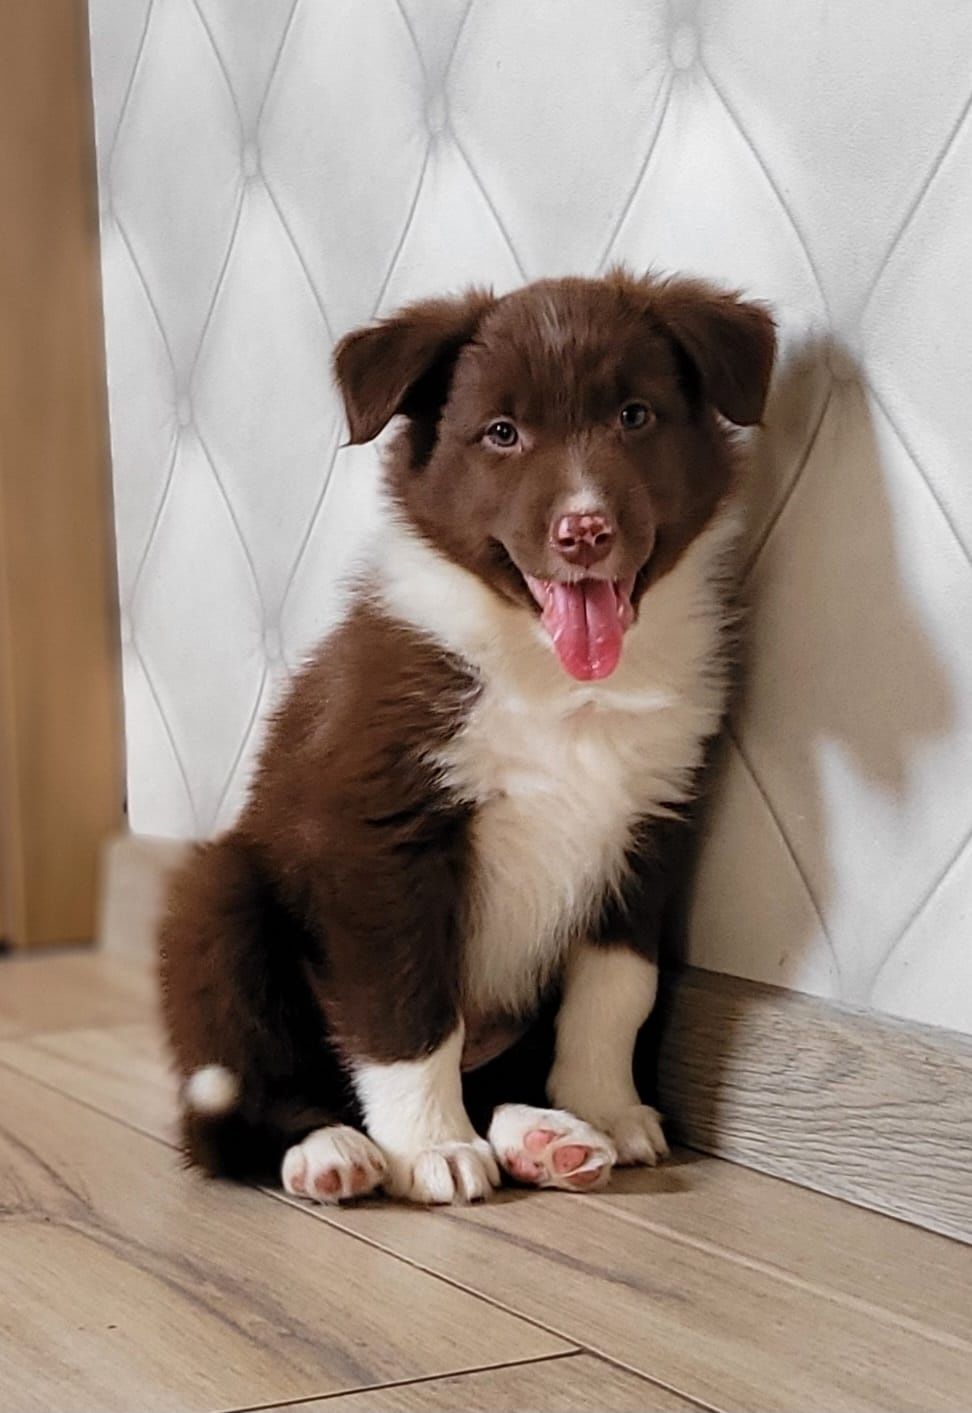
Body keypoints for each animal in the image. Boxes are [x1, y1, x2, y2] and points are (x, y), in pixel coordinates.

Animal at [159, 272, 774, 1203]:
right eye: (502, 433)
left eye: (634, 415)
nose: (584, 531)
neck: (553, 680)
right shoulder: (380, 841)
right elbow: (407, 1011)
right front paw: (432, 1147)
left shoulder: (648, 830)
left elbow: (614, 992)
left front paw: (605, 1105)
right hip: (221, 896)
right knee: (235, 1106)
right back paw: (330, 1149)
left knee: (494, 1073)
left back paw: (546, 1137)